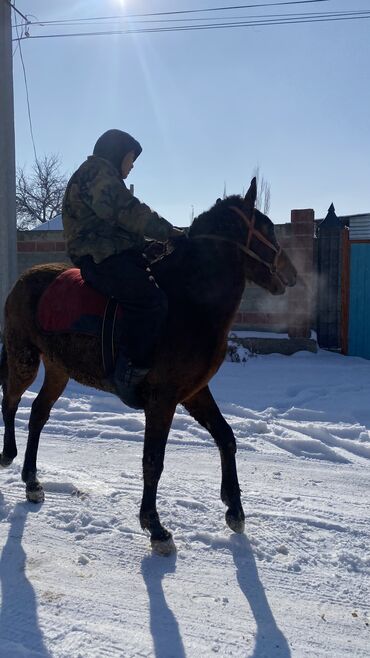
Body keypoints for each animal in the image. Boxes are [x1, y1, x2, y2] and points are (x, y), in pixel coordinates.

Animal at [0, 177, 296, 552]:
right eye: (266, 228)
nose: (292, 273)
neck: (188, 302)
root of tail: (22, 280)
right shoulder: (162, 399)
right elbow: (153, 461)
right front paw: (155, 527)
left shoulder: (194, 392)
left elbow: (226, 437)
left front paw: (235, 510)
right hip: (23, 356)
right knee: (10, 400)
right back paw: (8, 455)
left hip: (58, 368)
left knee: (38, 412)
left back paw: (32, 482)